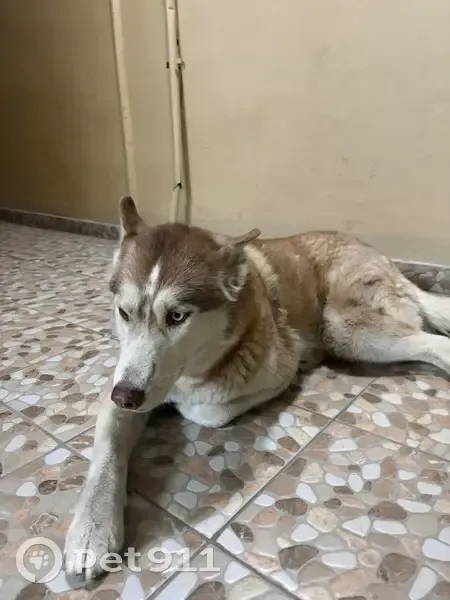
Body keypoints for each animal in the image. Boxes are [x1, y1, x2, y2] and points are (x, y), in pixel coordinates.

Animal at [64, 196, 450, 580]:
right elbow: (107, 451)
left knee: (434, 343)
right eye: (124, 313)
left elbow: (208, 409)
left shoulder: (280, 370)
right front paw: (91, 527)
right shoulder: (121, 380)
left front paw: (185, 403)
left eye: (177, 317)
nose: (127, 397)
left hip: (344, 329)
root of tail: (377, 254)